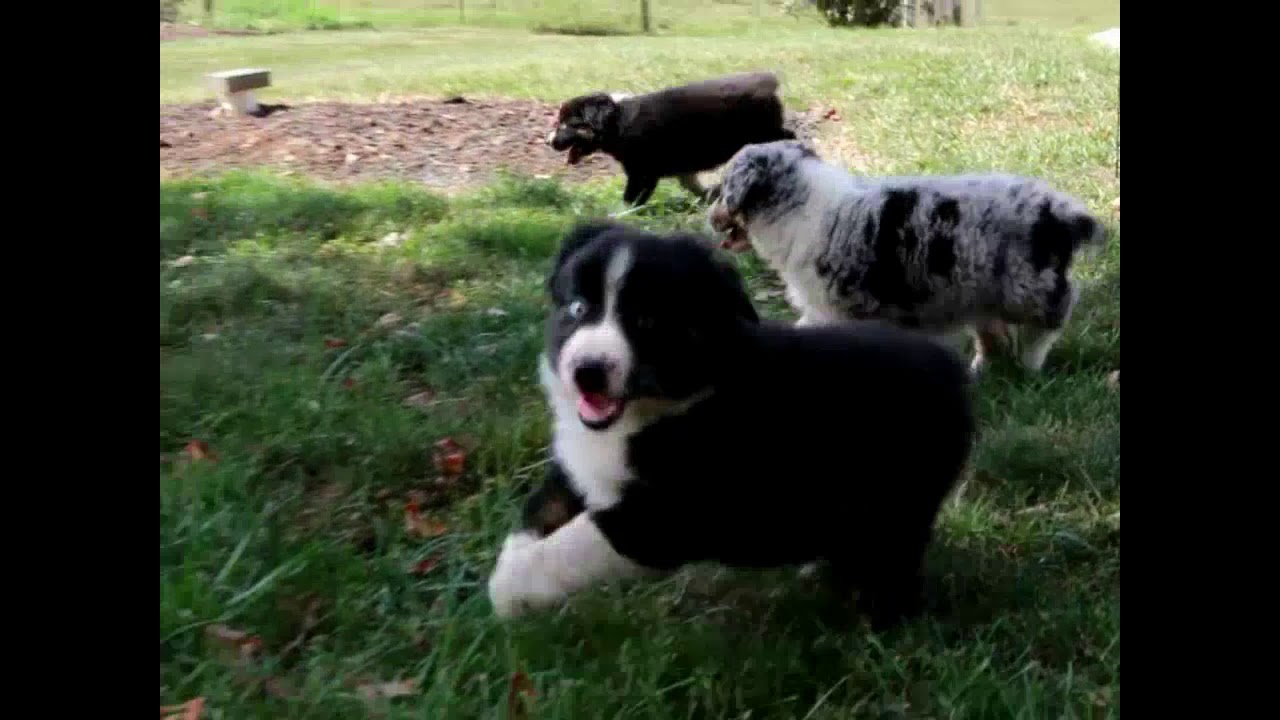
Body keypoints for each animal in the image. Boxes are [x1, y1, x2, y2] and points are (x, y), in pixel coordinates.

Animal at [486, 220, 975, 630]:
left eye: (646, 321)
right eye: (576, 308)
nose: (587, 371)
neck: (655, 411)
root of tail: (953, 370)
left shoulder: (662, 516)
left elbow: (575, 542)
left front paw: (510, 592)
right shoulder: (578, 462)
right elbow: (541, 508)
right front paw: (508, 570)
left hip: (898, 499)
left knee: (890, 564)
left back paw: (879, 624)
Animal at [546, 72, 797, 207]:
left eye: (566, 124)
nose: (548, 142)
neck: (616, 121)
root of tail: (769, 85)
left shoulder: (643, 172)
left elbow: (631, 197)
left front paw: (621, 213)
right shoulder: (679, 168)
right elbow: (694, 185)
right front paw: (710, 197)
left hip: (762, 133)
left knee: (788, 138)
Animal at [707, 140, 1107, 376]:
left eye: (724, 190)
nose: (710, 217)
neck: (798, 204)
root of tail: (1061, 212)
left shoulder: (835, 308)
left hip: (1027, 287)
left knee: (1047, 324)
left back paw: (1030, 367)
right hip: (981, 293)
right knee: (992, 336)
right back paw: (980, 372)